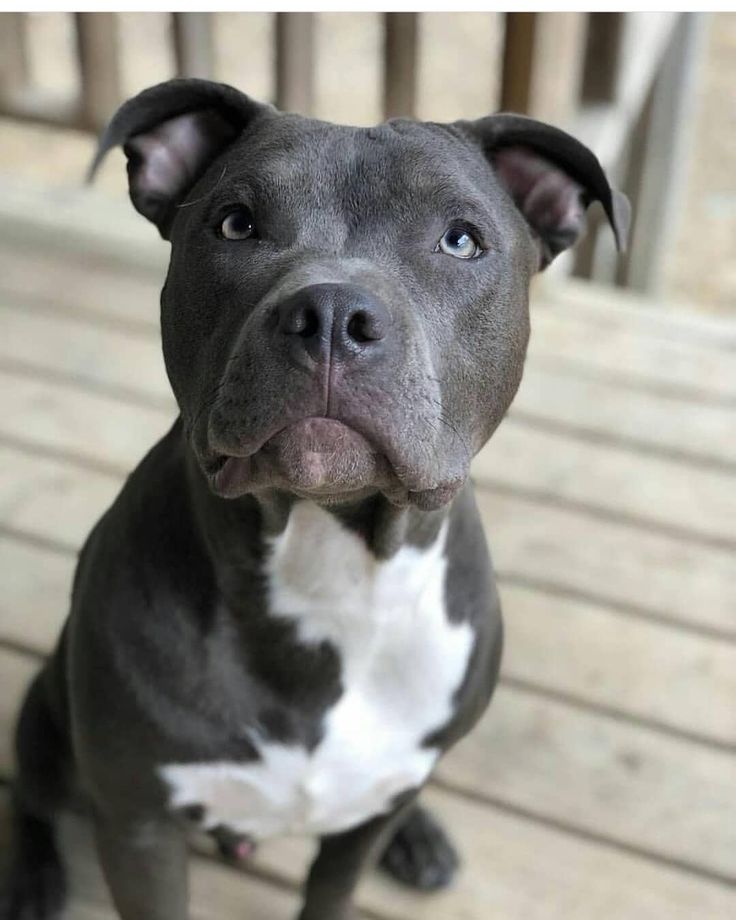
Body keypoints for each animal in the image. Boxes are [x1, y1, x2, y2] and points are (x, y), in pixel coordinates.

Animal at [1, 79, 628, 920]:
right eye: (235, 223)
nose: (333, 314)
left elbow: (333, 889)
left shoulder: (353, 832)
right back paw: (31, 877)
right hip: (50, 716)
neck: (330, 570)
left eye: (461, 241)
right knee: (33, 792)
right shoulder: (137, 826)